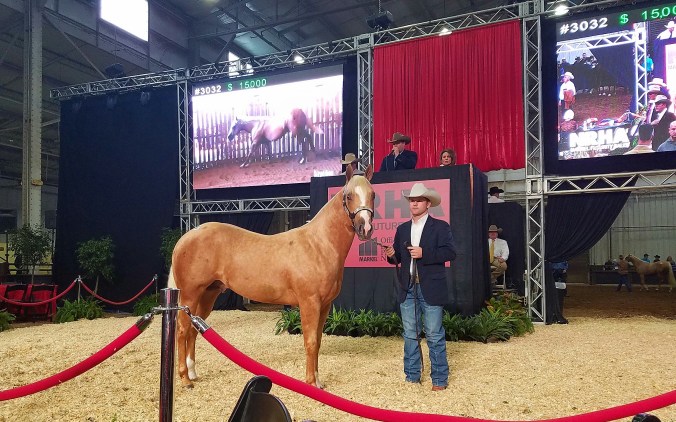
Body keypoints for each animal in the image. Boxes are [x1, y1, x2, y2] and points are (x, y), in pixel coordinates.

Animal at [168, 164, 375, 389]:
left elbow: (318, 341)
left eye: (373, 194)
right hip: (190, 295)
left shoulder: (325, 305)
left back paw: (192, 372)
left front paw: (318, 382)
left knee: (192, 330)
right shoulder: (309, 302)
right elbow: (310, 342)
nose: (365, 228)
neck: (318, 245)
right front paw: (310, 383)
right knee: (182, 330)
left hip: (208, 295)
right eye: (349, 196)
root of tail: (187, 236)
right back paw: (185, 379)